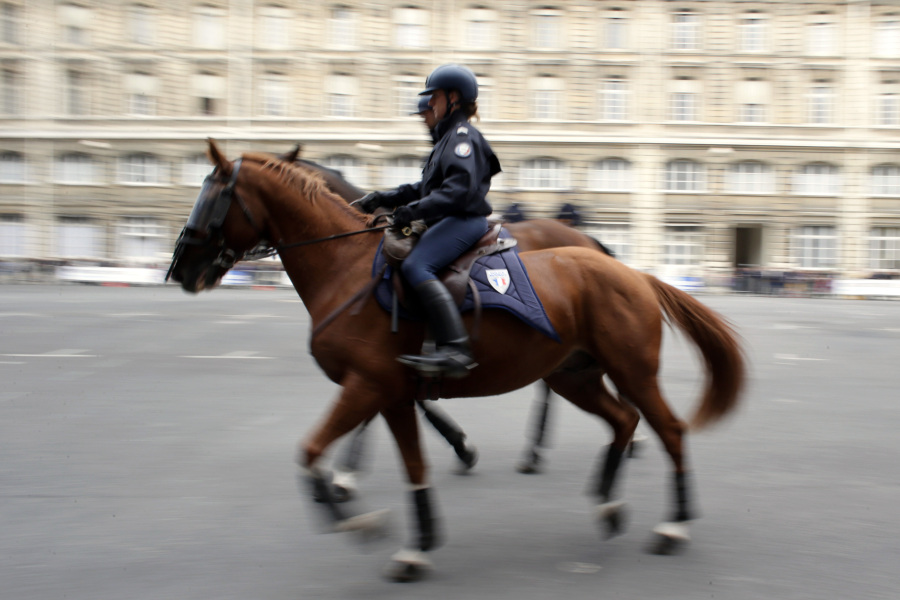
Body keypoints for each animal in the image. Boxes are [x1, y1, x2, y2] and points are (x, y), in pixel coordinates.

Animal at [169, 141, 744, 580]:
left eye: (212, 197)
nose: (181, 269)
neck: (347, 266)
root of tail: (631, 272)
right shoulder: (390, 393)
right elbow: (412, 466)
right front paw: (414, 543)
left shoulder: (368, 385)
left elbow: (312, 451)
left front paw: (354, 515)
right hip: (574, 377)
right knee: (623, 419)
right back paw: (606, 501)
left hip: (633, 373)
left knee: (668, 429)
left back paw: (672, 524)